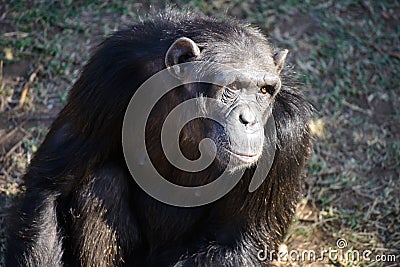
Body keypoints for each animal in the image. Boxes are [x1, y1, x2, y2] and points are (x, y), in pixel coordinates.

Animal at [5, 9, 312, 266]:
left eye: (264, 91)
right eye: (233, 88)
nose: (248, 119)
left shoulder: (288, 133)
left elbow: (240, 245)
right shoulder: (109, 72)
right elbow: (50, 186)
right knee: (103, 181)